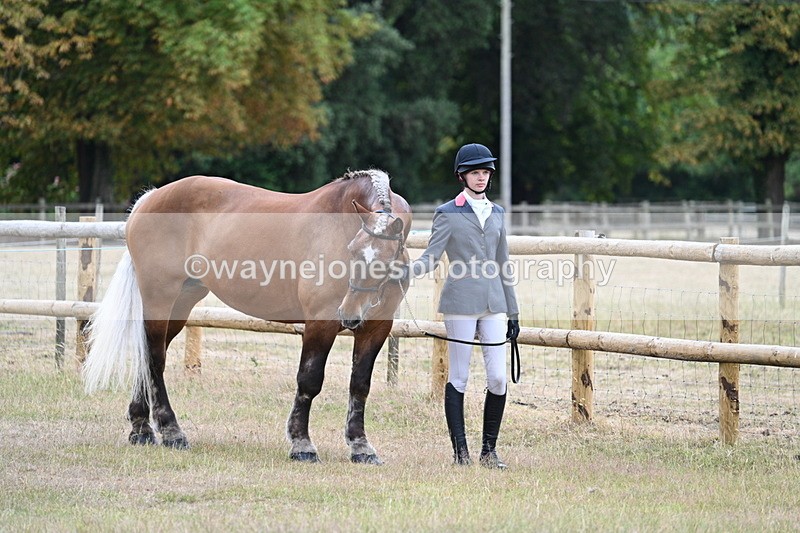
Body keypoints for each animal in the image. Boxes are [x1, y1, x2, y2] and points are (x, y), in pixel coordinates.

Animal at [82, 169, 411, 464]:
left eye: (385, 260)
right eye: (353, 250)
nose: (350, 315)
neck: (340, 222)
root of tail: (149, 199)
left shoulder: (377, 328)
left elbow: (360, 385)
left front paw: (361, 447)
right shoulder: (320, 322)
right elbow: (309, 381)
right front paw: (302, 445)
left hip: (181, 304)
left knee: (148, 356)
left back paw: (141, 430)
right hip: (159, 299)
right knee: (154, 360)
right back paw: (172, 432)